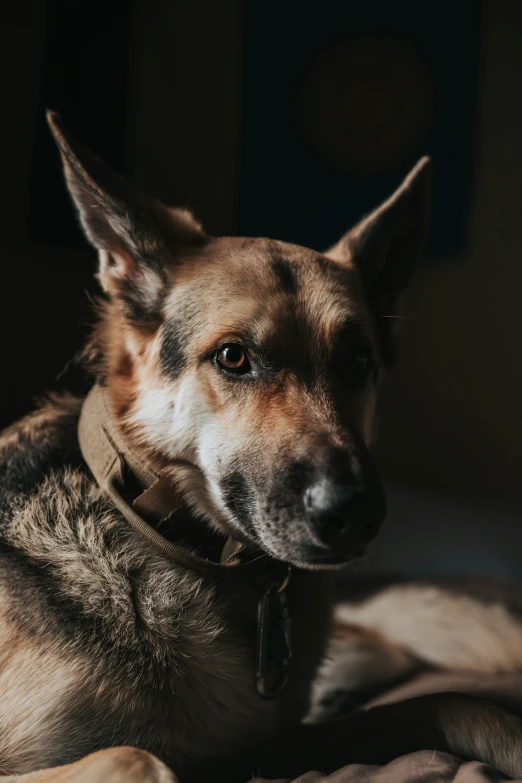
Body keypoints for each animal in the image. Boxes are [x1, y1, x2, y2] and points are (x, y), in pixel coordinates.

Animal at [1, 112, 520, 783]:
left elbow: (452, 702)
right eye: (233, 357)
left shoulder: (272, 751)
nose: (356, 514)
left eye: (359, 361)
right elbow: (141, 756)